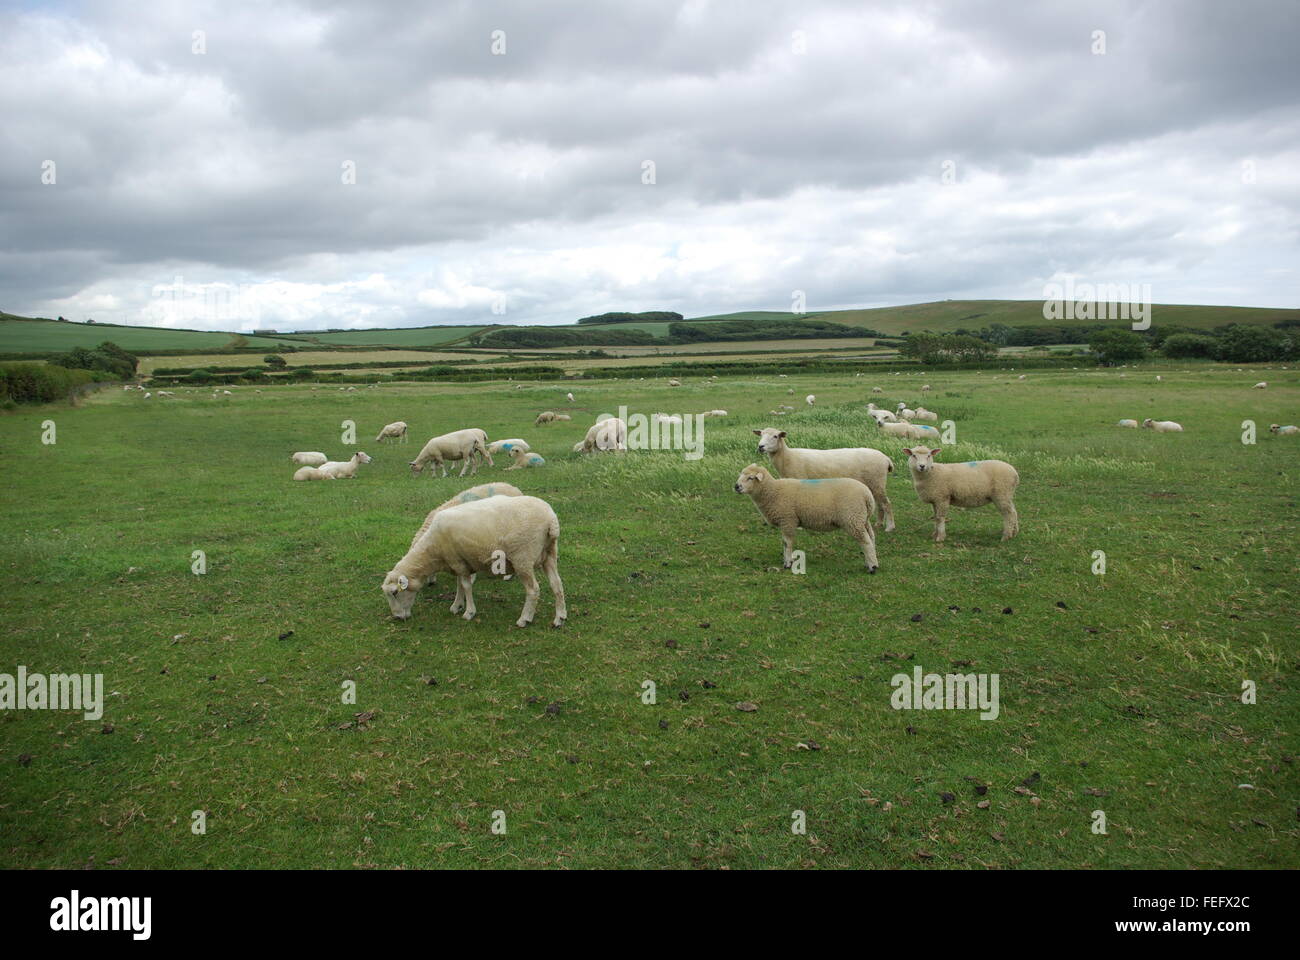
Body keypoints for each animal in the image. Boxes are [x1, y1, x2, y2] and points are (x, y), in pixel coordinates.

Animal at [379, 494, 566, 629]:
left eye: (395, 592)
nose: (397, 617)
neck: (432, 550)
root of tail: (551, 520)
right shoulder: (460, 563)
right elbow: (459, 586)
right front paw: (457, 605)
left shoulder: (457, 562)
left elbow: (466, 586)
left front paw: (468, 612)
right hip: (549, 554)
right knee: (557, 584)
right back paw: (560, 617)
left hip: (523, 558)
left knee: (533, 590)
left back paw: (524, 619)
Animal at [733, 463, 883, 572]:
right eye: (741, 475)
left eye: (750, 478)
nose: (736, 486)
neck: (773, 491)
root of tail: (867, 495)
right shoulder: (786, 522)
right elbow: (784, 543)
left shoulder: (787, 520)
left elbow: (787, 543)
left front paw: (787, 563)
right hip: (862, 519)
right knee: (871, 538)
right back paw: (871, 562)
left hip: (852, 518)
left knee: (865, 542)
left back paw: (872, 567)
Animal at [754, 426, 894, 530]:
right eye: (761, 435)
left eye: (775, 436)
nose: (760, 447)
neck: (788, 457)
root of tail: (886, 458)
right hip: (874, 483)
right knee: (880, 504)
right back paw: (879, 524)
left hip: (877, 481)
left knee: (886, 503)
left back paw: (890, 527)